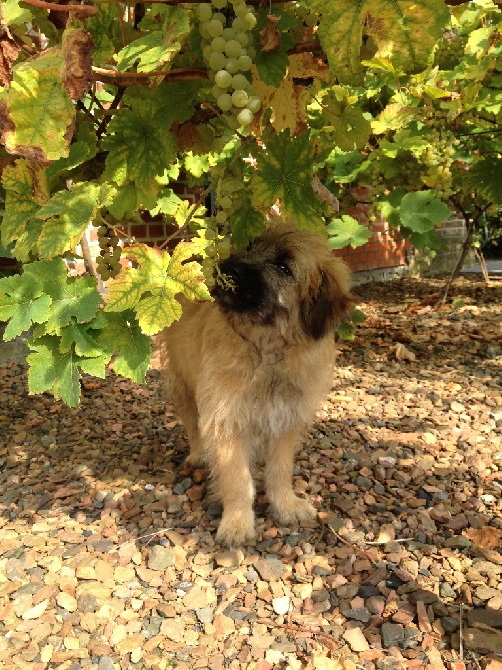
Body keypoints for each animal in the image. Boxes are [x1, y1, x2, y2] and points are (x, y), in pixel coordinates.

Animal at [159, 223, 352, 548]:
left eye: (284, 267)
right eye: (249, 246)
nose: (227, 268)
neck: (267, 348)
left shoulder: (286, 418)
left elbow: (280, 470)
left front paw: (285, 504)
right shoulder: (226, 420)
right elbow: (237, 479)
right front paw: (237, 523)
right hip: (182, 384)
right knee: (192, 424)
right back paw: (198, 455)